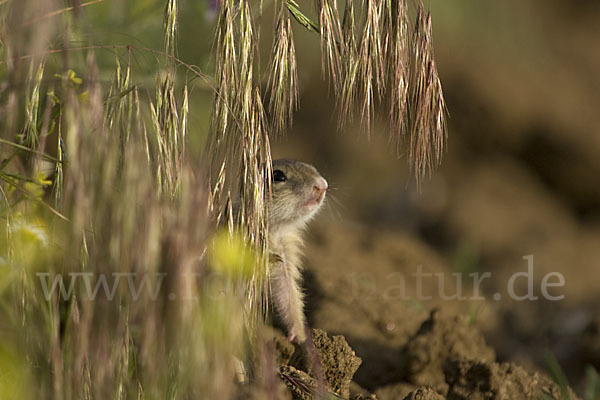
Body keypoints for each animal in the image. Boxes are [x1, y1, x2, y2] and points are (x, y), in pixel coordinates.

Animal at [270, 159, 328, 344]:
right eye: (277, 175)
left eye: (313, 167)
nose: (322, 185)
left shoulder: (286, 260)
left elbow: (289, 296)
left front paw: (299, 337)